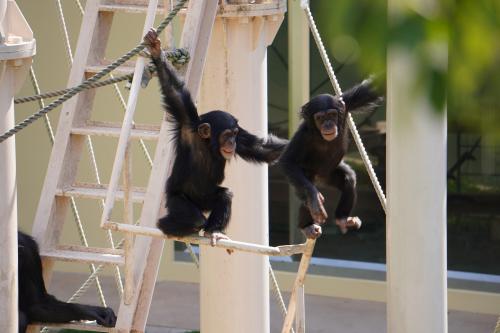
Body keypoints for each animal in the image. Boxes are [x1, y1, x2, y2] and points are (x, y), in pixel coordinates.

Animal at [143, 28, 288, 244]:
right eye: (227, 135)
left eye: (234, 134)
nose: (232, 143)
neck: (207, 144)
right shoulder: (186, 122)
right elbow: (173, 90)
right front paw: (156, 51)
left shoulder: (243, 139)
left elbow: (263, 150)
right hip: (176, 199)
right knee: (194, 217)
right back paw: (168, 226)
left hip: (207, 199)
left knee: (224, 196)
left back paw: (214, 230)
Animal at [278, 79, 382, 237]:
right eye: (320, 118)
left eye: (332, 115)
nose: (328, 124)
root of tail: (321, 178)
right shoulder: (302, 135)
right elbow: (288, 161)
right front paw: (314, 198)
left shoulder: (346, 104)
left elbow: (373, 89)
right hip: (304, 177)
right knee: (305, 197)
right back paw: (307, 226)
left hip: (330, 174)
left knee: (348, 179)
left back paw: (342, 219)